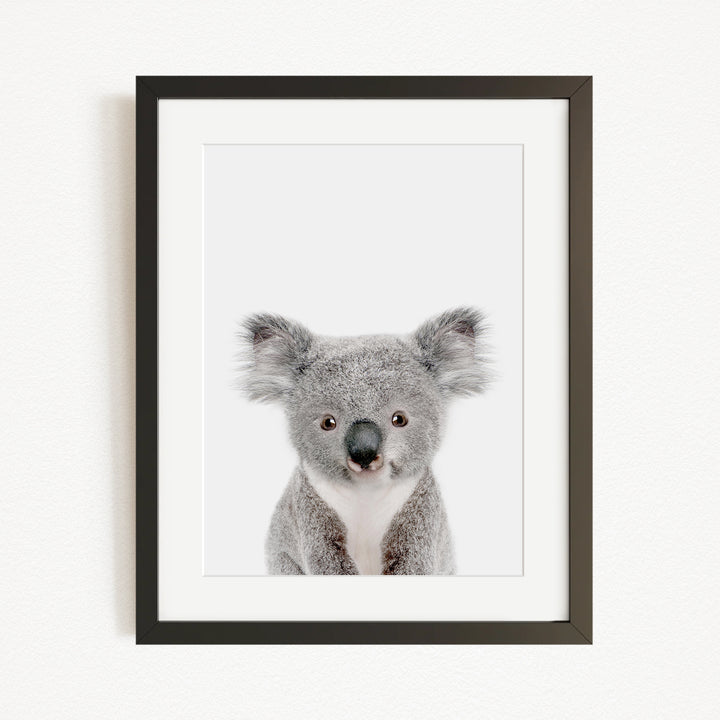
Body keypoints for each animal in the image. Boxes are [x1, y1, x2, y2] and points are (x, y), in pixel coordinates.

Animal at [238, 307, 490, 575]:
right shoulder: (310, 509)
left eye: (399, 419)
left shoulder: (420, 510)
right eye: (328, 423)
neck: (366, 493)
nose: (364, 453)